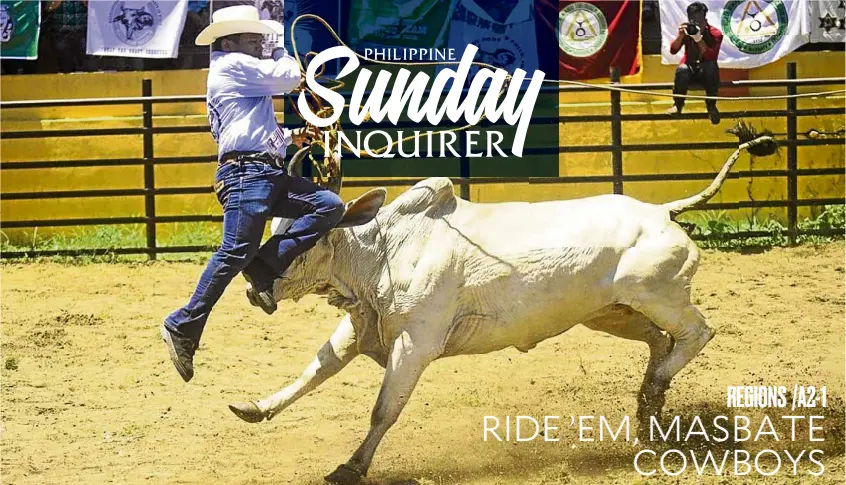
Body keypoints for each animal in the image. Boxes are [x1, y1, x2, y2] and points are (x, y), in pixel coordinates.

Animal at [229, 137, 772, 484]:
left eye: (303, 237)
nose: (254, 289)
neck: (383, 250)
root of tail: (661, 212)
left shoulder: (416, 343)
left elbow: (384, 409)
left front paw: (350, 468)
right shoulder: (358, 327)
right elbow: (312, 372)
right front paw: (255, 408)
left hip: (659, 297)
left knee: (696, 334)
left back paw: (655, 392)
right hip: (612, 313)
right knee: (662, 343)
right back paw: (646, 414)